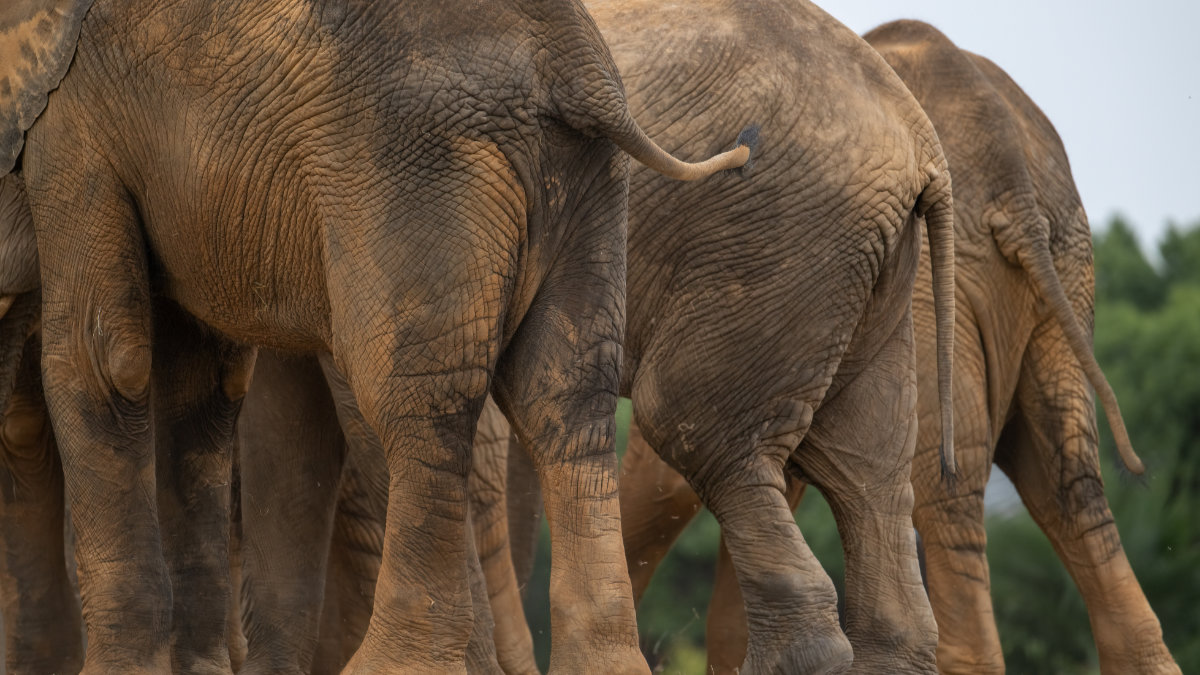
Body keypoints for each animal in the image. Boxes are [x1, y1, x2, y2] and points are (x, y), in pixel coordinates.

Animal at [0, 0, 748, 667]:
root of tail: (580, 73)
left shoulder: (71, 116)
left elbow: (104, 360)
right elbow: (198, 383)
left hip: (418, 175)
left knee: (416, 405)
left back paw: (395, 662)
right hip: (581, 186)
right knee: (564, 402)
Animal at [609, 18, 1180, 672]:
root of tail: (1011, 172)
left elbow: (674, 469)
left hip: (934, 284)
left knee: (947, 487)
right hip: (1064, 270)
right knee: (1070, 482)